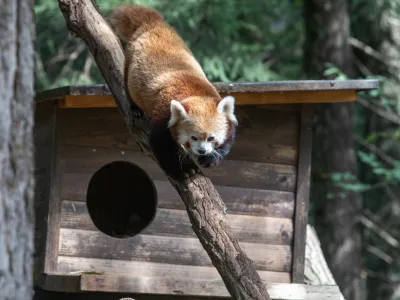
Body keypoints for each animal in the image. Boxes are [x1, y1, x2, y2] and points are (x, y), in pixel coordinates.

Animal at [109, 2, 238, 178]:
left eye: (211, 138)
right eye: (193, 137)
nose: (202, 151)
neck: (196, 93)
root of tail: (153, 23)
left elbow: (229, 136)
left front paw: (211, 158)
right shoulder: (164, 114)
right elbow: (159, 144)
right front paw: (180, 171)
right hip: (130, 61)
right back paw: (135, 108)